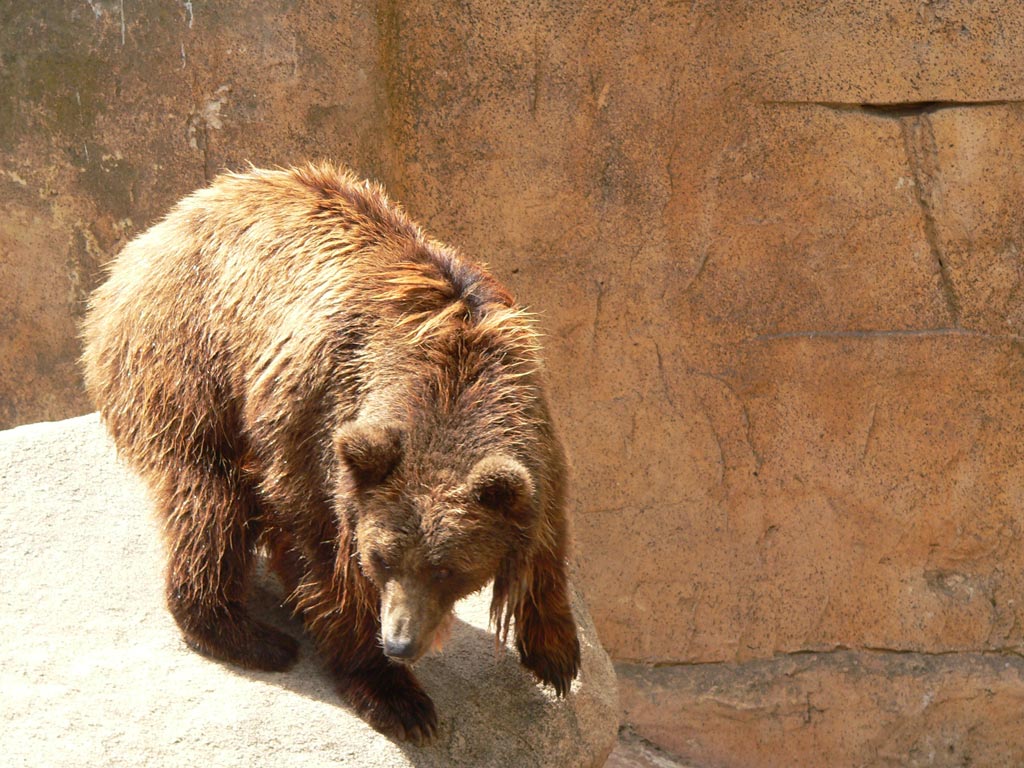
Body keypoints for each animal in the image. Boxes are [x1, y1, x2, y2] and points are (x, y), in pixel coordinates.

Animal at [81, 162, 580, 742]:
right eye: (381, 557)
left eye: (447, 569)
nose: (400, 642)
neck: (447, 378)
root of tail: (148, 238)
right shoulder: (315, 420)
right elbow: (319, 548)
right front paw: (396, 695)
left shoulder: (534, 425)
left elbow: (547, 531)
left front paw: (556, 653)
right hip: (188, 357)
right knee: (207, 494)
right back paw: (244, 634)